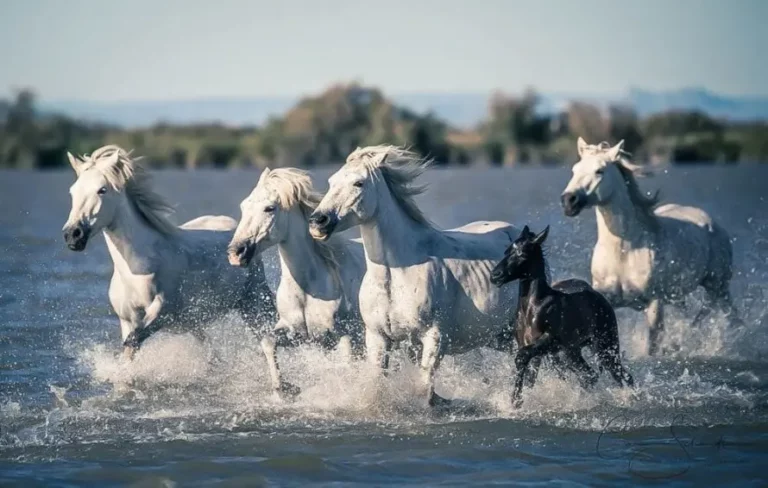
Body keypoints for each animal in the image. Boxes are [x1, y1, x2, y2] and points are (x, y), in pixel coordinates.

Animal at [62, 145, 276, 360]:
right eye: (72, 191)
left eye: (102, 190)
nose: (73, 234)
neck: (137, 268)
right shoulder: (128, 319)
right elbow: (129, 351)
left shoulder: (163, 313)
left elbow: (133, 340)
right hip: (197, 323)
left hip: (252, 301)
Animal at [227, 167, 367, 397]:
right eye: (244, 206)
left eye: (269, 208)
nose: (235, 253)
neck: (309, 290)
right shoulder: (297, 333)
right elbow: (268, 341)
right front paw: (283, 389)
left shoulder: (344, 336)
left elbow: (347, 364)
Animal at [308, 145, 519, 407]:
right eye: (331, 181)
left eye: (359, 183)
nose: (318, 222)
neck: (397, 274)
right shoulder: (378, 338)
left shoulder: (433, 337)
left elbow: (425, 389)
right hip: (498, 337)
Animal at [490, 225, 634, 408]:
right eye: (507, 251)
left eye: (522, 253)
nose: (495, 275)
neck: (532, 308)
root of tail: (600, 297)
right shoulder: (529, 344)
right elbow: (529, 373)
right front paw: (517, 400)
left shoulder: (549, 340)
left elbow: (522, 358)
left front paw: (516, 400)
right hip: (572, 351)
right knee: (590, 374)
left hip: (605, 346)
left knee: (618, 374)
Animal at [560, 138, 740, 355]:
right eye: (575, 169)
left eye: (599, 171)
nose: (568, 201)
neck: (624, 251)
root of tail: (712, 223)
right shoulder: (606, 299)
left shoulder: (654, 304)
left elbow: (651, 348)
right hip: (680, 297)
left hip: (718, 287)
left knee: (731, 317)